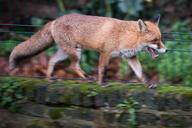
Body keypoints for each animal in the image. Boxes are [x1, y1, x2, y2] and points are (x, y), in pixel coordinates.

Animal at [9, 13, 166, 88]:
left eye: (161, 38)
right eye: (155, 40)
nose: (166, 49)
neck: (125, 36)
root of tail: (55, 20)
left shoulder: (130, 57)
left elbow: (140, 73)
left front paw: (148, 83)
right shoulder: (105, 53)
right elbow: (103, 70)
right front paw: (102, 84)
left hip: (65, 52)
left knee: (52, 59)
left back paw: (49, 78)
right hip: (75, 52)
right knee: (73, 66)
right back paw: (88, 77)